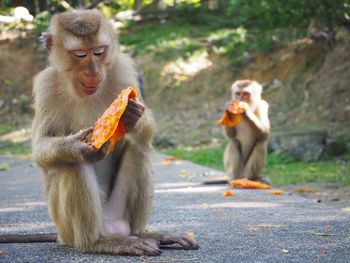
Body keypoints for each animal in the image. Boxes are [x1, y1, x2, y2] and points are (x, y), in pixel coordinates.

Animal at [27, 9, 198, 256]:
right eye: (80, 54)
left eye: (99, 51)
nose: (93, 71)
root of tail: (110, 226)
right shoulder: (46, 85)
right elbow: (41, 148)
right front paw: (78, 146)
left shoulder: (122, 69)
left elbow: (143, 131)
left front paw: (132, 115)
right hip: (67, 229)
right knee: (72, 165)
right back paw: (97, 243)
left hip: (118, 212)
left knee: (138, 148)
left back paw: (145, 235)